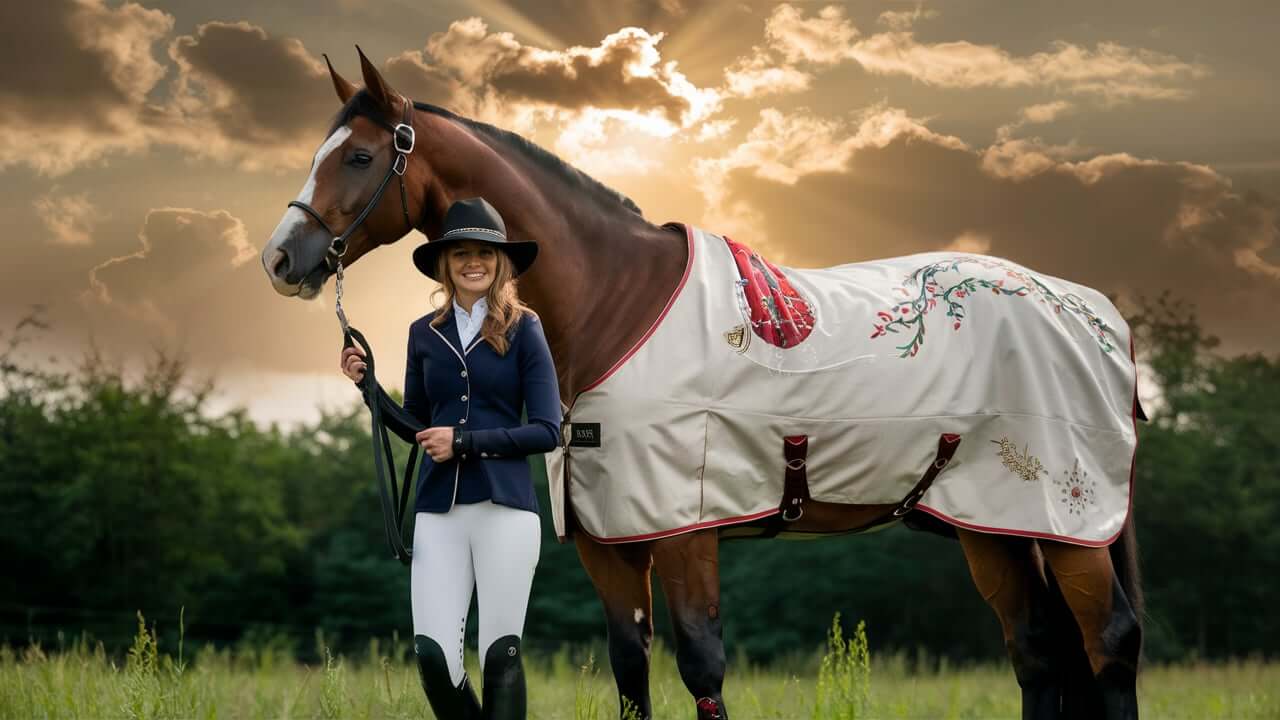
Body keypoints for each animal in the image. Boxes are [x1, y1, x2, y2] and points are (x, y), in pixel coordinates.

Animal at [261, 49, 1143, 720]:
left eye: (361, 156)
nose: (280, 259)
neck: (617, 302)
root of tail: (1094, 316)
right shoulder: (611, 542)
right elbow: (630, 669)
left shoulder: (686, 529)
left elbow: (701, 667)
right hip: (992, 525)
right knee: (1039, 652)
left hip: (1070, 522)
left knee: (1108, 644)